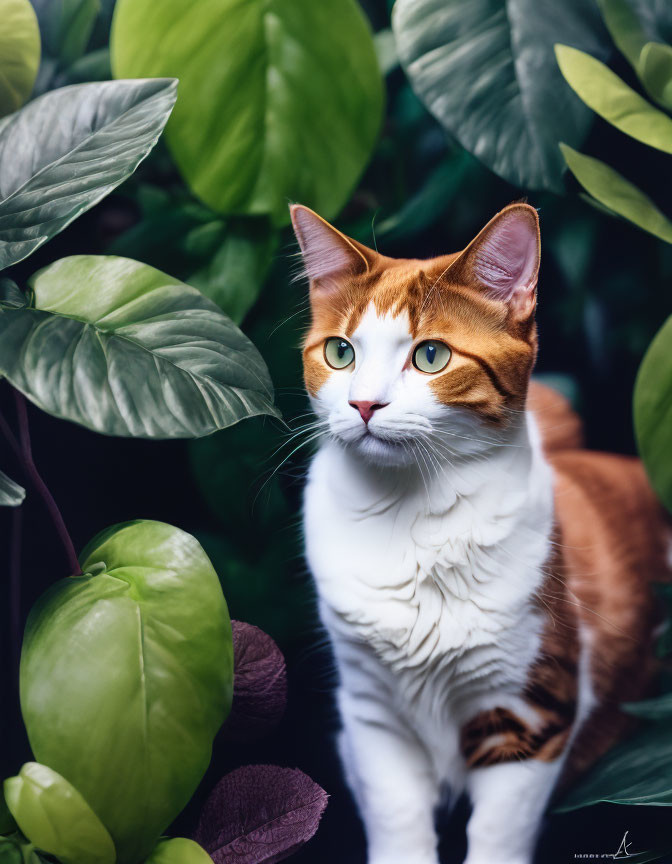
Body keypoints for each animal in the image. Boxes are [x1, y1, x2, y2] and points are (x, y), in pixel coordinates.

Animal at [290, 201, 672, 864]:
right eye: (340, 353)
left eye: (431, 357)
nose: (363, 405)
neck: (409, 517)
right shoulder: (372, 716)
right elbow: (397, 824)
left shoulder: (532, 709)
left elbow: (497, 835)